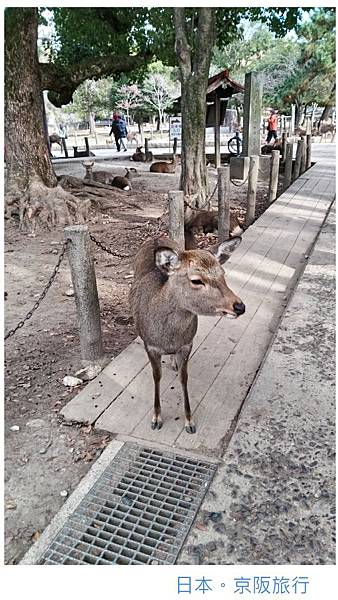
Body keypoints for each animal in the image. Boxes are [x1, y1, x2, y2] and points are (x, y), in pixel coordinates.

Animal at [130, 233, 246, 432]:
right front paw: (156, 419)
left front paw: (189, 421)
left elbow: (184, 379)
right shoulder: (150, 345)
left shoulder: (187, 344)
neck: (168, 337)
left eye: (223, 274)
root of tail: (156, 237)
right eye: (196, 280)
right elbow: (156, 377)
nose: (239, 306)